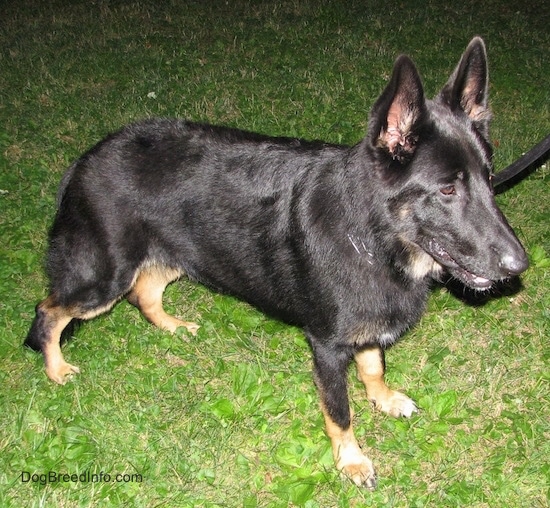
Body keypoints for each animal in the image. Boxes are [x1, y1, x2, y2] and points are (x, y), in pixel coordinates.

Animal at [25, 37, 532, 486]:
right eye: (447, 189)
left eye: (489, 179)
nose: (519, 266)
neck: (373, 236)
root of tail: (86, 159)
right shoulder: (327, 346)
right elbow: (339, 411)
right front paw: (351, 460)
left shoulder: (365, 325)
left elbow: (373, 366)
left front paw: (383, 399)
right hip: (104, 276)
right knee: (50, 309)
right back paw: (56, 369)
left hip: (176, 254)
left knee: (144, 293)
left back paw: (172, 327)